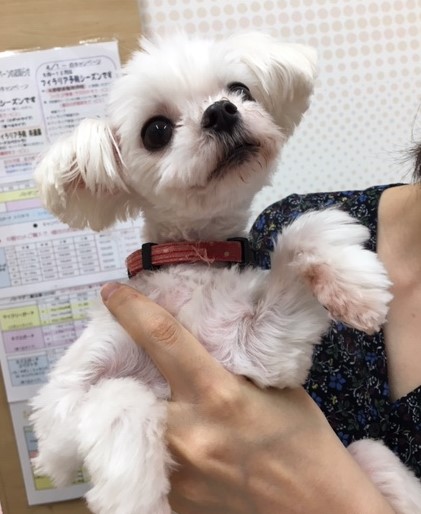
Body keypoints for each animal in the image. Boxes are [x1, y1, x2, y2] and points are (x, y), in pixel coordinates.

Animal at [30, 32, 421, 514]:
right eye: (155, 131)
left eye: (240, 90)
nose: (221, 111)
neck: (193, 258)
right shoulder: (57, 426)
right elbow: (117, 395)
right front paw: (134, 491)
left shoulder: (258, 358)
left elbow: (303, 234)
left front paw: (357, 289)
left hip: (366, 453)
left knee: (371, 453)